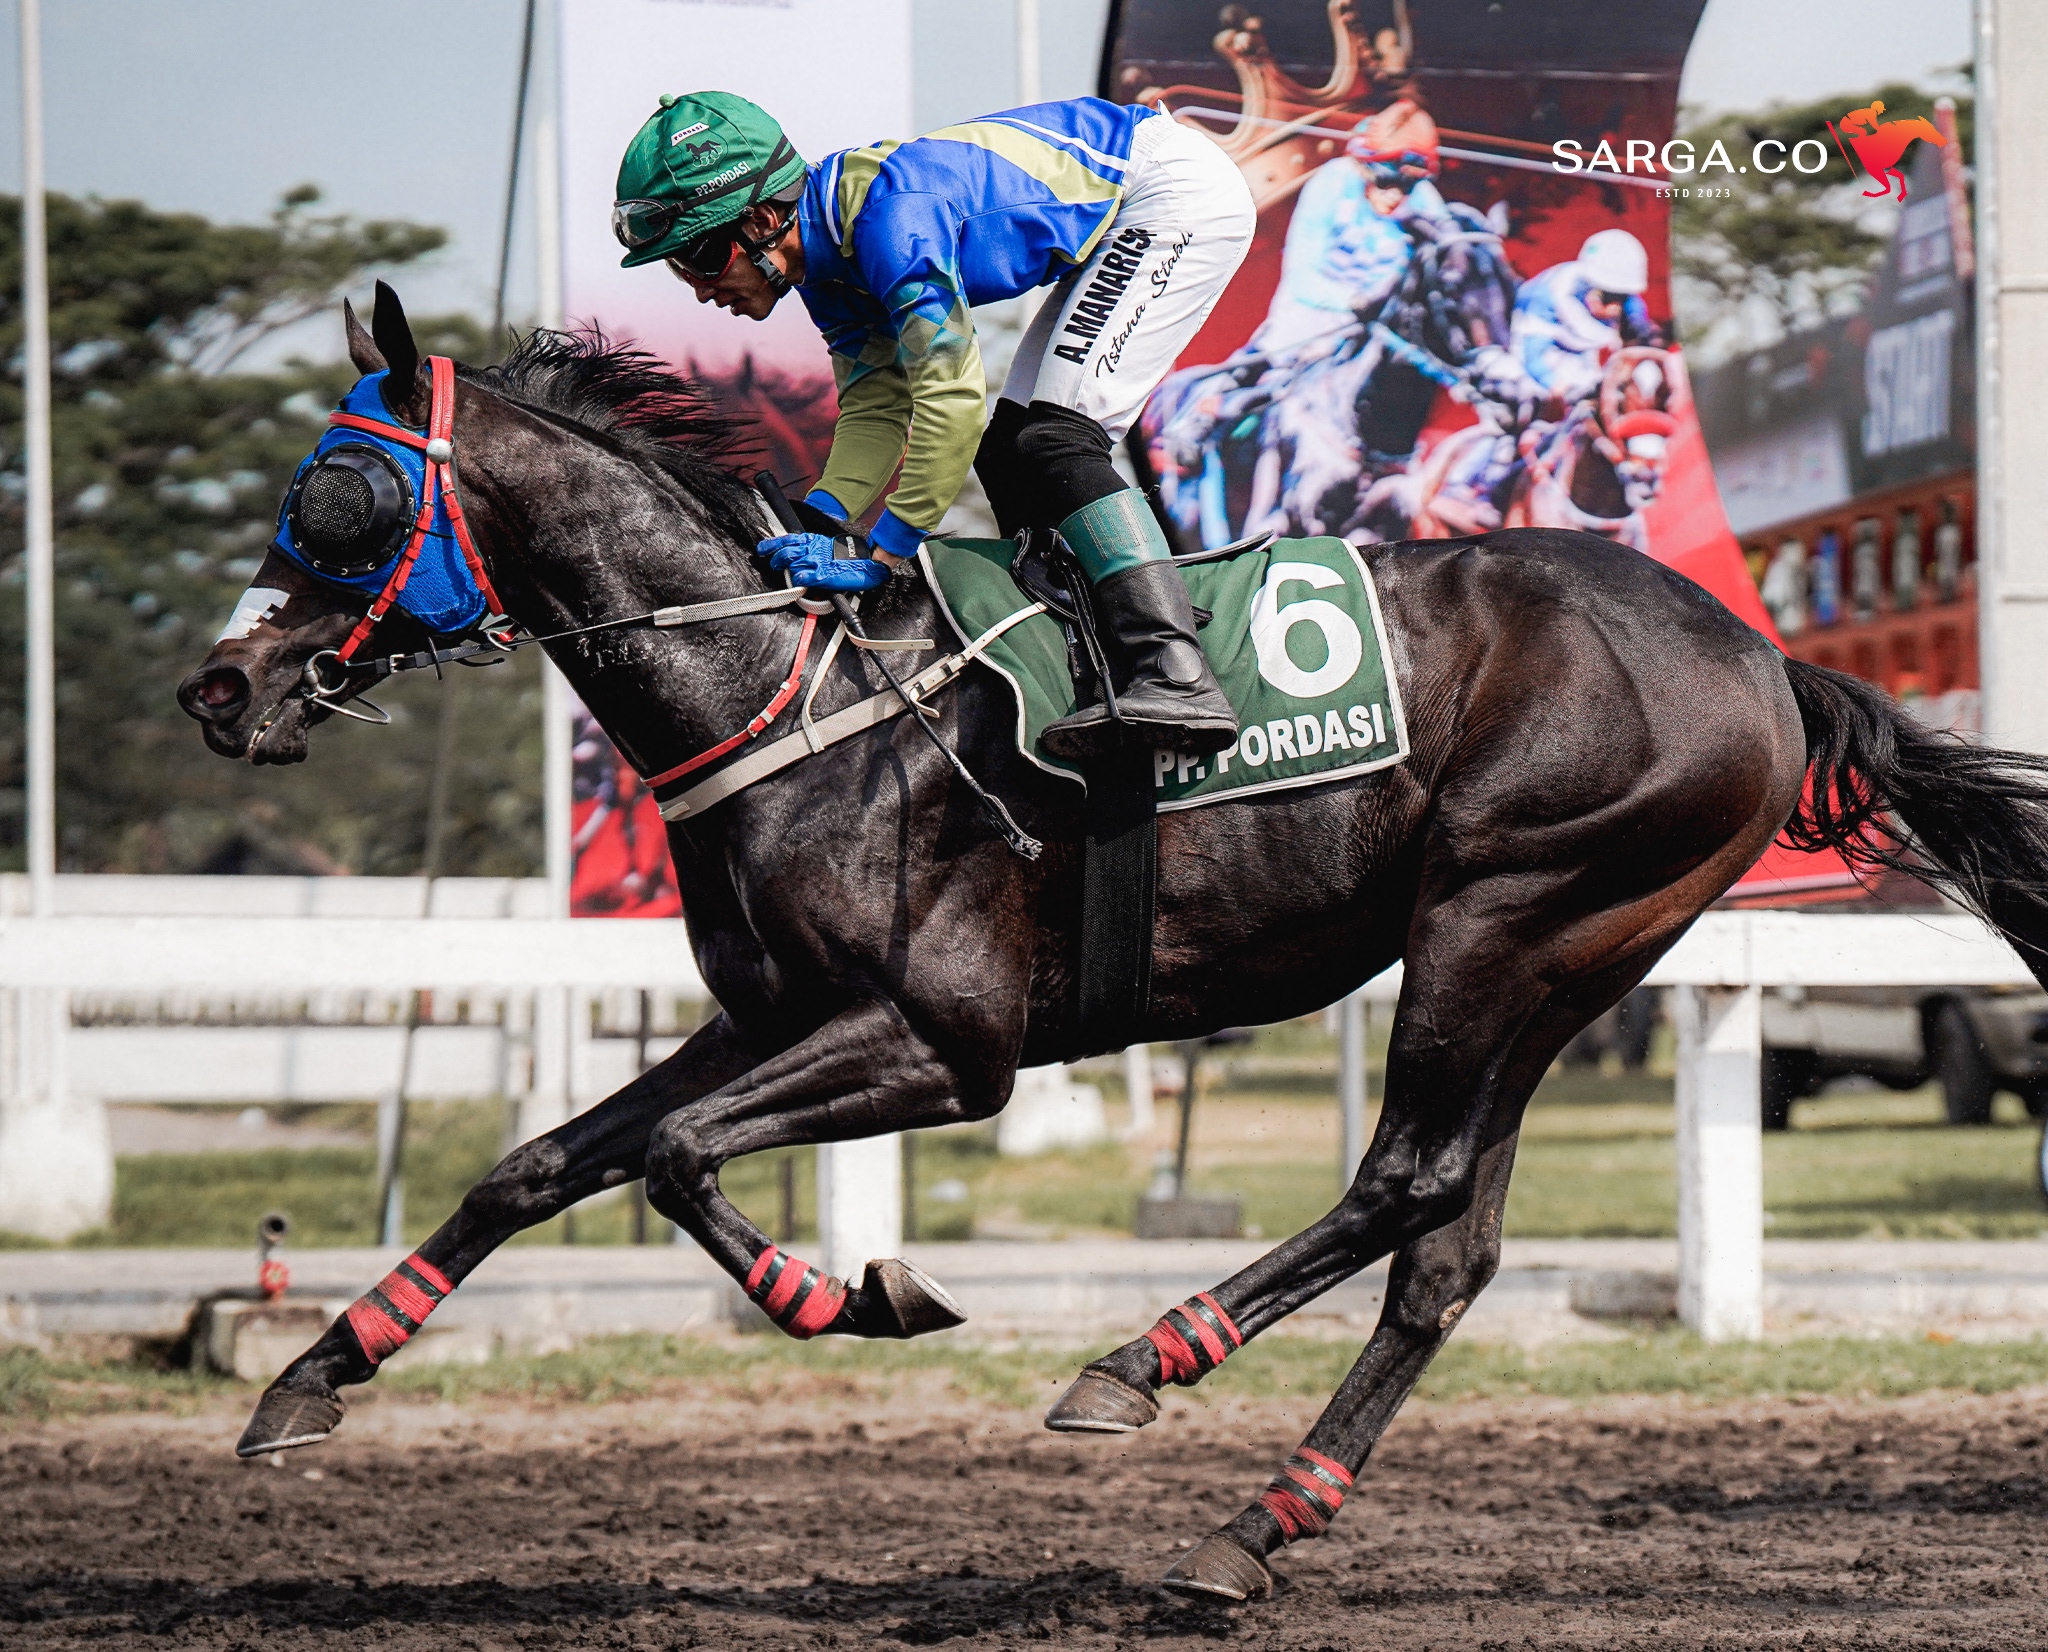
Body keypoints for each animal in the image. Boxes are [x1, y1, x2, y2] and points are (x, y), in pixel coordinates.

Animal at [178, 285, 2048, 1602]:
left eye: (340, 493)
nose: (219, 684)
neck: (794, 694)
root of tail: (1758, 653)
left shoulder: (944, 1042)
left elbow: (683, 1160)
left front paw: (859, 1290)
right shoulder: (771, 1014)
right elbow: (539, 1164)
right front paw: (309, 1377)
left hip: (1505, 921)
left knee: (1402, 1182)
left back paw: (1139, 1361)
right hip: (1566, 962)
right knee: (1446, 1248)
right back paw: (1251, 1528)